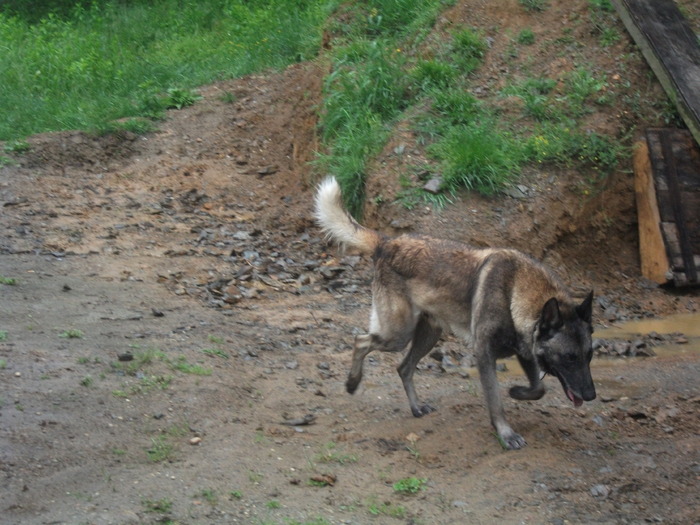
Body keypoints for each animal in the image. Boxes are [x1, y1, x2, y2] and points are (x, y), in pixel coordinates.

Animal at [318, 175, 596, 446]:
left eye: (589, 356)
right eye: (569, 357)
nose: (591, 395)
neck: (515, 291)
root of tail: (387, 243)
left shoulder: (525, 353)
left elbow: (538, 388)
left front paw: (517, 392)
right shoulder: (484, 355)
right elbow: (496, 401)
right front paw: (506, 434)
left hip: (428, 335)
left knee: (404, 367)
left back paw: (415, 407)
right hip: (398, 335)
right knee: (361, 341)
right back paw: (352, 383)